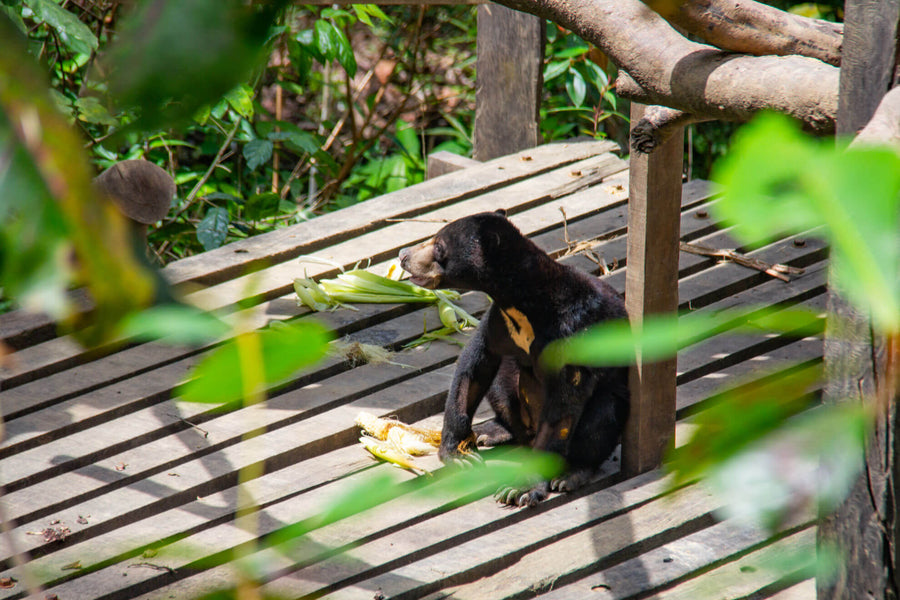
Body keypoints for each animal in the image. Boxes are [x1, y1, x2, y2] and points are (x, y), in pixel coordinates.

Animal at [398, 211, 628, 506]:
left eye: (439, 246)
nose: (403, 255)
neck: (522, 303)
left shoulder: (574, 334)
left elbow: (563, 409)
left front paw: (520, 489)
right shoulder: (500, 320)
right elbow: (476, 364)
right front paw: (458, 453)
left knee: (601, 416)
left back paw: (573, 473)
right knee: (502, 385)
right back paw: (493, 431)